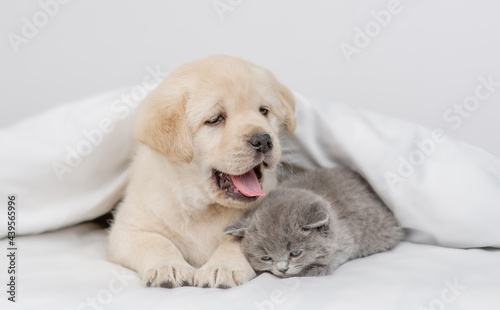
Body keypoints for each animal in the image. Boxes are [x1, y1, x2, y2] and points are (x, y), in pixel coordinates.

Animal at [107, 54, 294, 288]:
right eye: (215, 119)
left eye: (263, 111)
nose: (263, 140)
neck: (203, 209)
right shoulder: (127, 229)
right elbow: (155, 241)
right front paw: (169, 266)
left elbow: (235, 242)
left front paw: (222, 266)